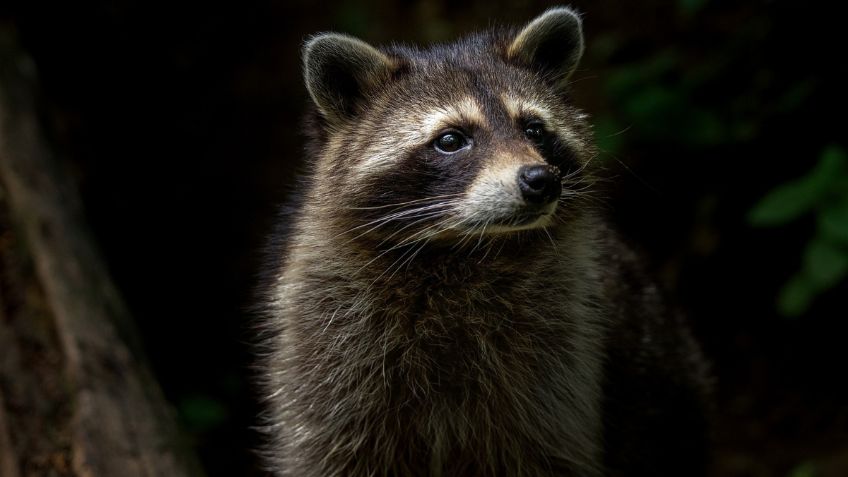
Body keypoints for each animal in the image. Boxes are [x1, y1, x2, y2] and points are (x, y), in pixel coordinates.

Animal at [262, 7, 712, 476]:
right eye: (450, 139)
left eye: (534, 129)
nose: (541, 180)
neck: (464, 248)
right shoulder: (327, 351)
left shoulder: (562, 358)